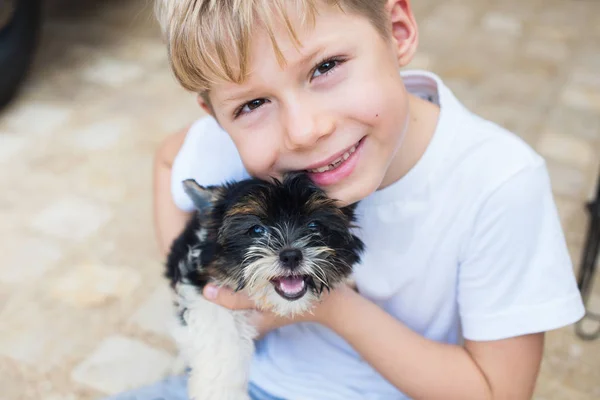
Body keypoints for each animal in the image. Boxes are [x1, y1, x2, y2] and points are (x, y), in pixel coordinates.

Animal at [164, 172, 364, 400]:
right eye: (257, 230)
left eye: (314, 225)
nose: (291, 255)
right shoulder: (199, 285)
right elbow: (218, 332)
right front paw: (224, 391)